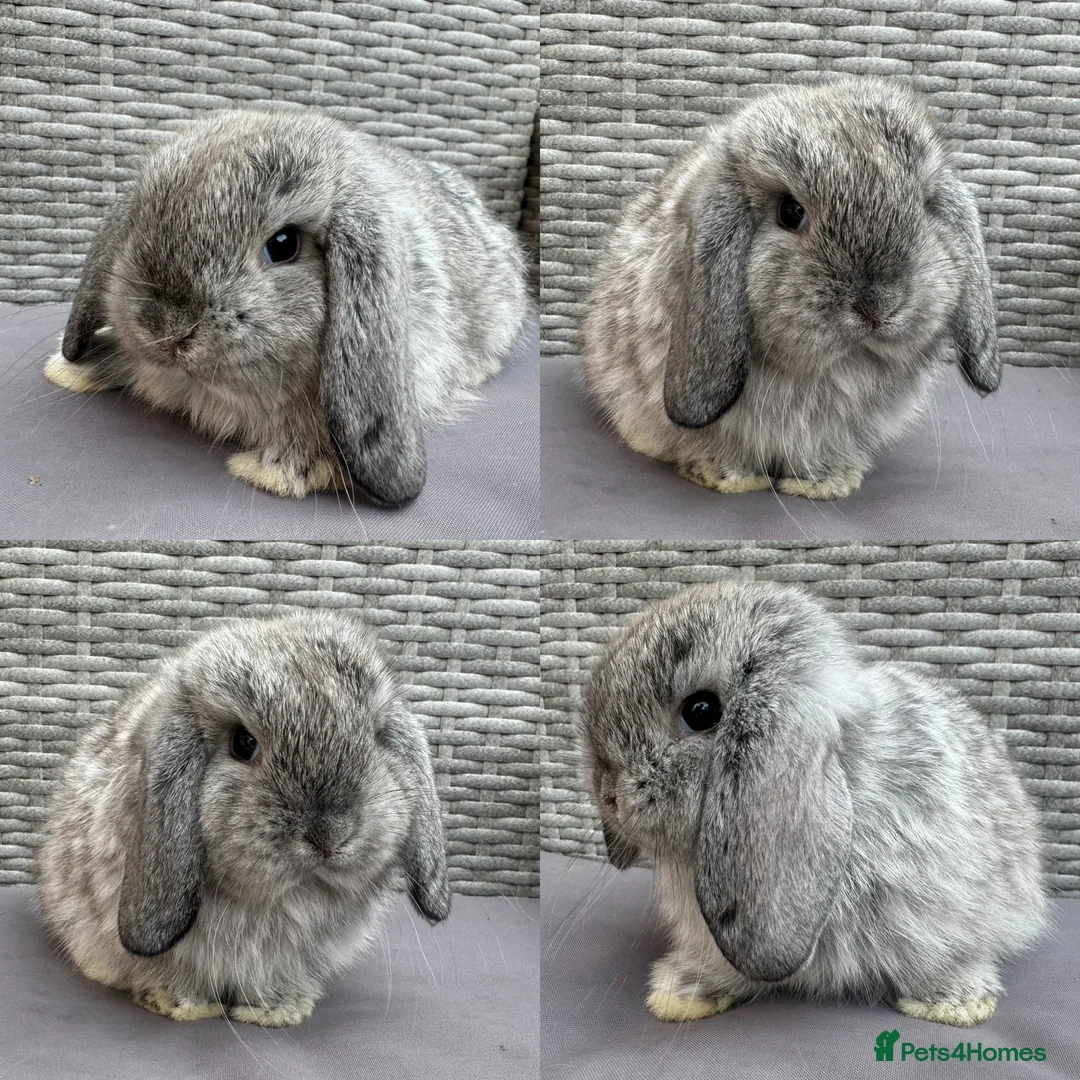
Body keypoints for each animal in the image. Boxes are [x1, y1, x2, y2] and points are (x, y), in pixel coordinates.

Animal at [35, 610, 451, 1026]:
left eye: (376, 737)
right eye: (243, 744)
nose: (331, 835)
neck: (289, 897)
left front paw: (278, 1012)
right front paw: (181, 1005)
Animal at [580, 77, 1000, 500]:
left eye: (925, 206)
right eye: (791, 212)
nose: (879, 305)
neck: (837, 369)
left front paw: (826, 485)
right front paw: (727, 478)